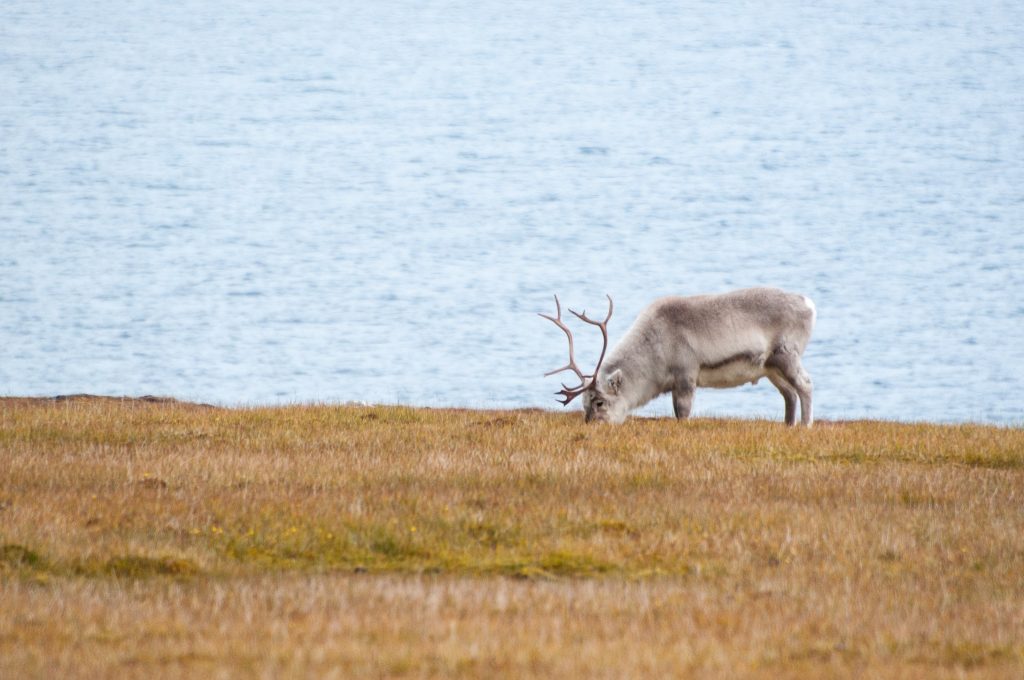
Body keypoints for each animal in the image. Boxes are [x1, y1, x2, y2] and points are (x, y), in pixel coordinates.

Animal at [539, 287, 816, 426]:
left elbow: (682, 413)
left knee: (805, 385)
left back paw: (805, 426)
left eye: (599, 402)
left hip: (787, 354)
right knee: (789, 393)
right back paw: (788, 426)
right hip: (770, 367)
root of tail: (809, 304)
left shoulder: (686, 374)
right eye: (584, 403)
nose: (592, 425)